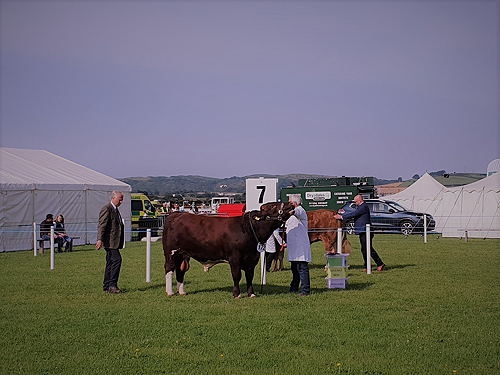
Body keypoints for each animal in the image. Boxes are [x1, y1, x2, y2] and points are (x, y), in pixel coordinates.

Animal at [162, 203, 292, 300]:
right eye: (273, 206)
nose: (290, 204)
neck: (247, 229)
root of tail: (176, 214)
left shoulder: (252, 259)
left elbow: (249, 276)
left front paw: (251, 294)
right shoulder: (234, 258)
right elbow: (237, 276)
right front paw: (237, 294)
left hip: (183, 255)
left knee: (180, 271)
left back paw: (182, 292)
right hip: (171, 253)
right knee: (169, 269)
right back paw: (170, 292)